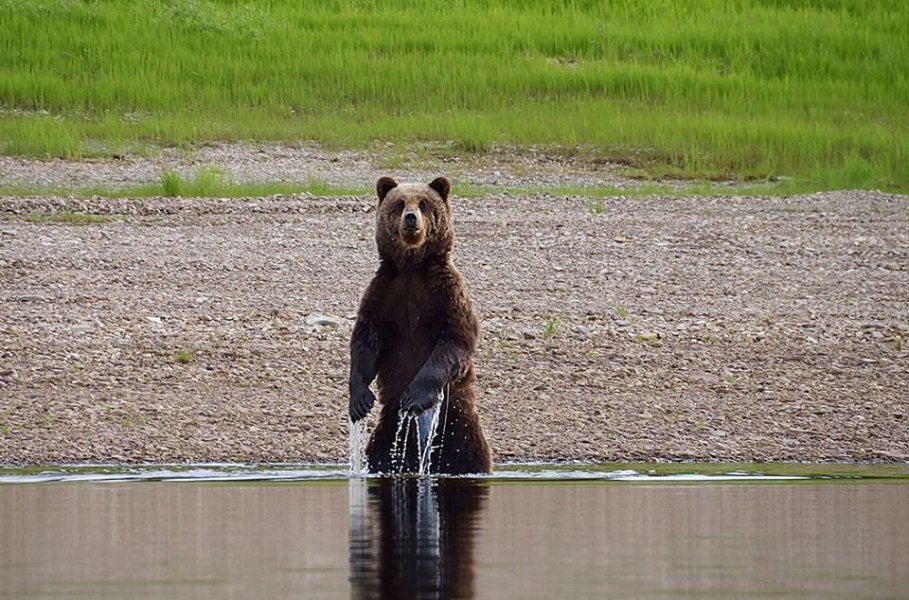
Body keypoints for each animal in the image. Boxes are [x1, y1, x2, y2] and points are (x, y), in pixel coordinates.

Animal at [346, 176, 490, 476]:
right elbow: (366, 340)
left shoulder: (445, 294)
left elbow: (453, 342)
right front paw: (359, 400)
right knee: (380, 455)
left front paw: (414, 396)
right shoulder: (385, 292)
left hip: (459, 425)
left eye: (423, 203)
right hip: (387, 431)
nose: (411, 218)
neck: (412, 267)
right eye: (400, 203)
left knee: (470, 455)